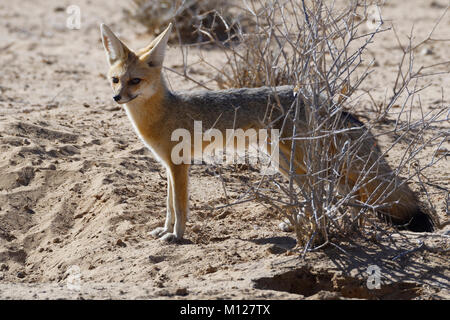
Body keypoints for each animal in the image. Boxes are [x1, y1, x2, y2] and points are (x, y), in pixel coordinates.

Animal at [100, 23, 434, 241]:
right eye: (115, 79)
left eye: (135, 81)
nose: (116, 98)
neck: (163, 111)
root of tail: (314, 95)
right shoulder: (169, 165)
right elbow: (169, 206)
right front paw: (165, 230)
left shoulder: (179, 165)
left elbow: (180, 207)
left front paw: (177, 236)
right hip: (287, 163)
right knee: (333, 189)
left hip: (299, 162)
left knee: (335, 189)